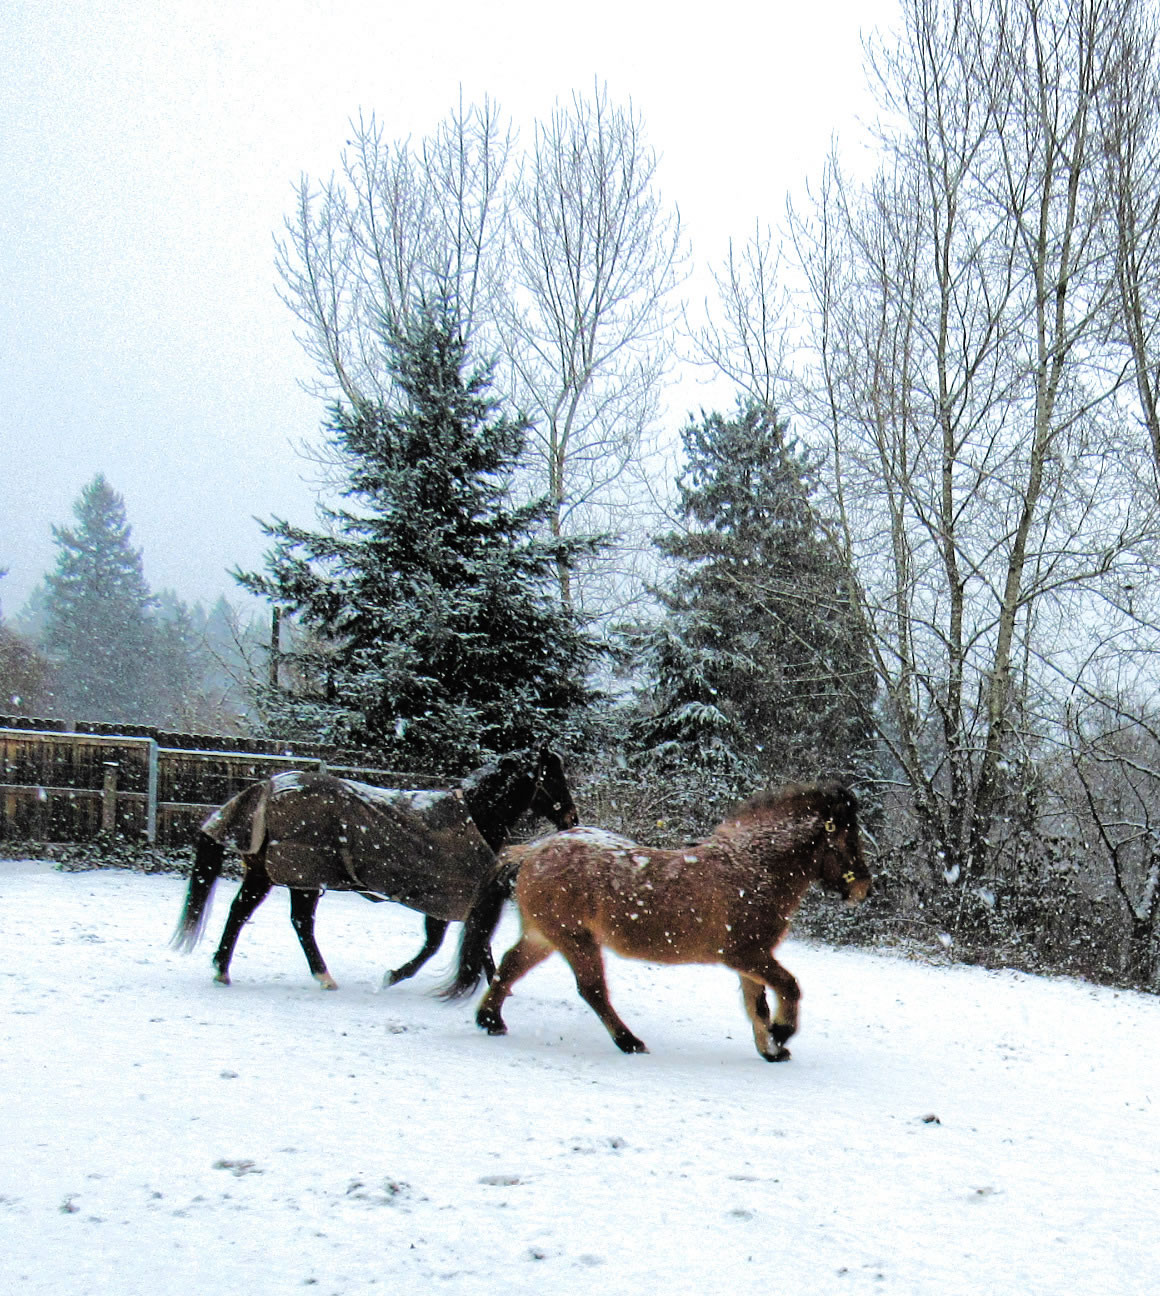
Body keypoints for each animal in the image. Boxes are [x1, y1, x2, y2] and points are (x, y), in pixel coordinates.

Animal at [169, 746, 578, 984]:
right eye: (554, 776)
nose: (571, 818)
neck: (476, 816)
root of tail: (269, 788)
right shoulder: (446, 895)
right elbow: (447, 944)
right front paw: (396, 975)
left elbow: (452, 943)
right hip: (299, 875)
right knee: (293, 921)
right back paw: (320, 976)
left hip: (272, 874)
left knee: (248, 913)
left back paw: (224, 968)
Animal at [445, 777, 870, 1062]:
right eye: (849, 840)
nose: (863, 887)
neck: (750, 868)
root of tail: (532, 851)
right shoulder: (745, 954)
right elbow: (789, 988)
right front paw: (782, 1033)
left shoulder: (751, 958)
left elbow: (758, 1004)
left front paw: (771, 1048)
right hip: (575, 940)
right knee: (592, 991)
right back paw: (629, 1042)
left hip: (546, 937)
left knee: (508, 967)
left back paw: (490, 1020)